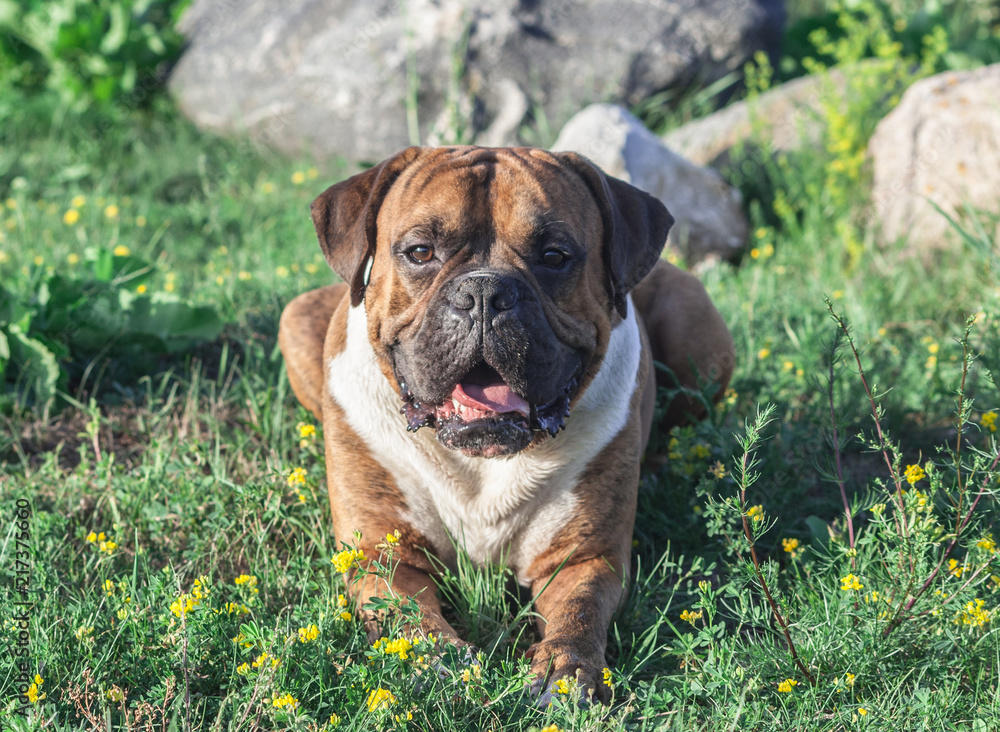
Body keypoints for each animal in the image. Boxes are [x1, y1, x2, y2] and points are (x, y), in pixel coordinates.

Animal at [278, 144, 732, 704]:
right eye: (420, 252)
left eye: (555, 256)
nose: (484, 293)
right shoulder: (383, 554)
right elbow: (407, 616)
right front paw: (436, 660)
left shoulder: (584, 558)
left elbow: (579, 613)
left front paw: (566, 672)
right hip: (295, 320)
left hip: (700, 334)